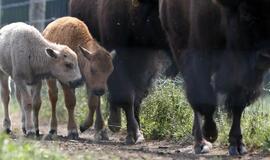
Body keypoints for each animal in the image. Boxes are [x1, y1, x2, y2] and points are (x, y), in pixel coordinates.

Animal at [69, 0, 175, 144]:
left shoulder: (146, 67)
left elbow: (137, 98)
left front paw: (138, 133)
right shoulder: (117, 61)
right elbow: (126, 97)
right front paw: (132, 134)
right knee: (97, 95)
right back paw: (102, 130)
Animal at [159, 0, 270, 155]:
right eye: (245, 13)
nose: (266, 57)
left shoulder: (242, 77)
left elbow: (238, 106)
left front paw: (237, 145)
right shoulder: (199, 61)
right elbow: (205, 101)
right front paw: (211, 133)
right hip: (178, 47)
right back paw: (201, 143)